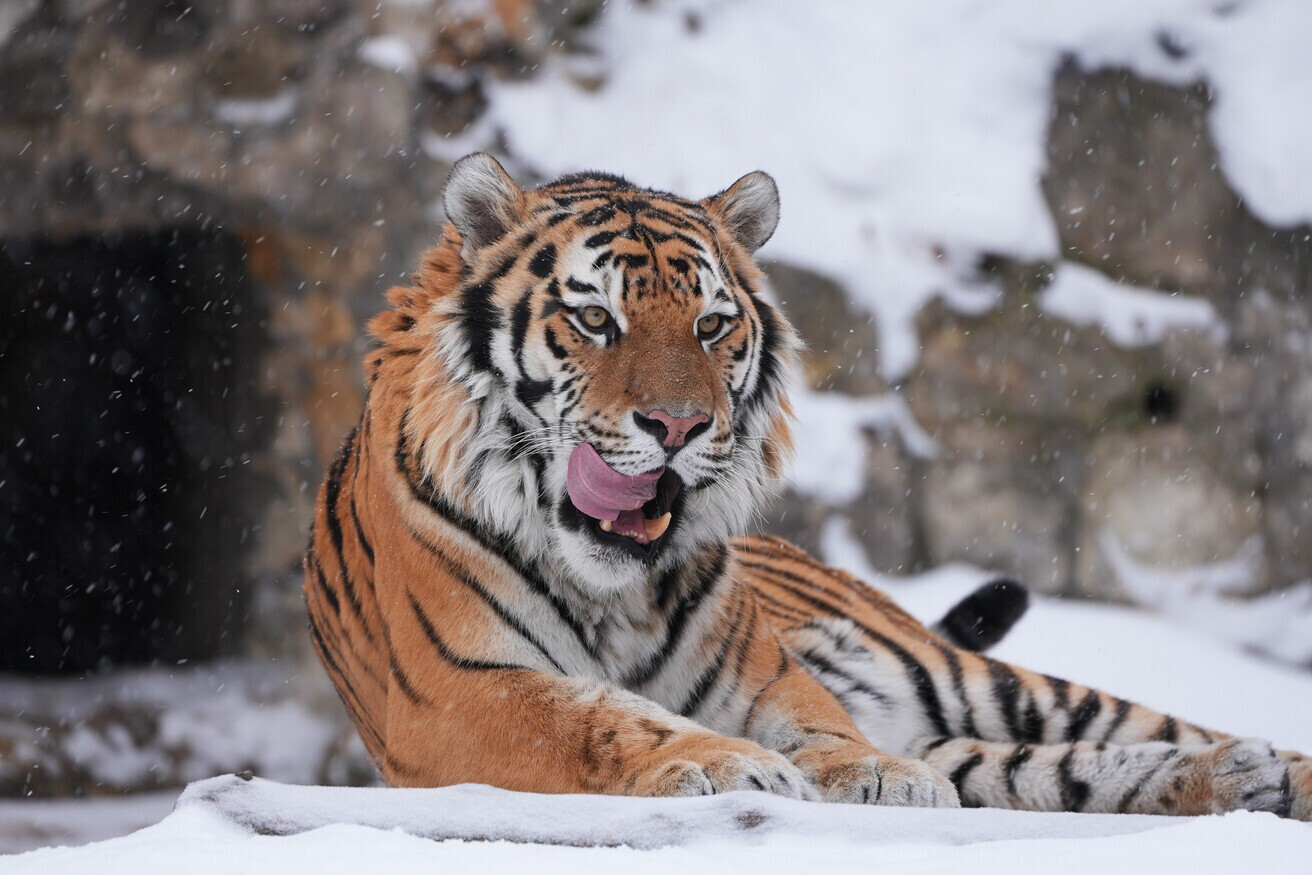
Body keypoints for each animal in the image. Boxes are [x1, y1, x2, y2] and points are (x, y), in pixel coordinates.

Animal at [304, 152, 1310, 818]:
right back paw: (1236, 780)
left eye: (711, 326)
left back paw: (1266, 772)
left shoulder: (764, 674)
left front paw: (873, 775)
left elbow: (819, 725)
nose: (678, 426)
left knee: (1149, 729)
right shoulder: (461, 692)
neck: (612, 587)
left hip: (988, 679)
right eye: (594, 320)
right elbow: (599, 720)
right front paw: (727, 766)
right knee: (1050, 769)